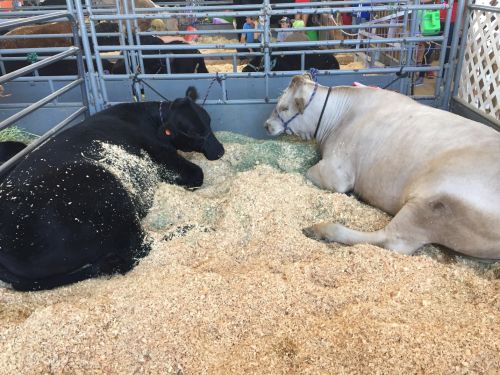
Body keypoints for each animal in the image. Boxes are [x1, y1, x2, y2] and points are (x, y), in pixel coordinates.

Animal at [0, 87, 225, 290]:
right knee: (140, 248)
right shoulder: (162, 155)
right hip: (109, 195)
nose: (220, 151)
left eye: (209, 121)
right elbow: (196, 174)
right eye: (193, 132)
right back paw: (196, 228)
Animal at [268, 75, 500, 260]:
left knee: (391, 240)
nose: (267, 125)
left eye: (283, 108)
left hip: (430, 204)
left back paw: (320, 229)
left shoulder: (337, 173)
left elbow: (307, 171)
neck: (340, 118)